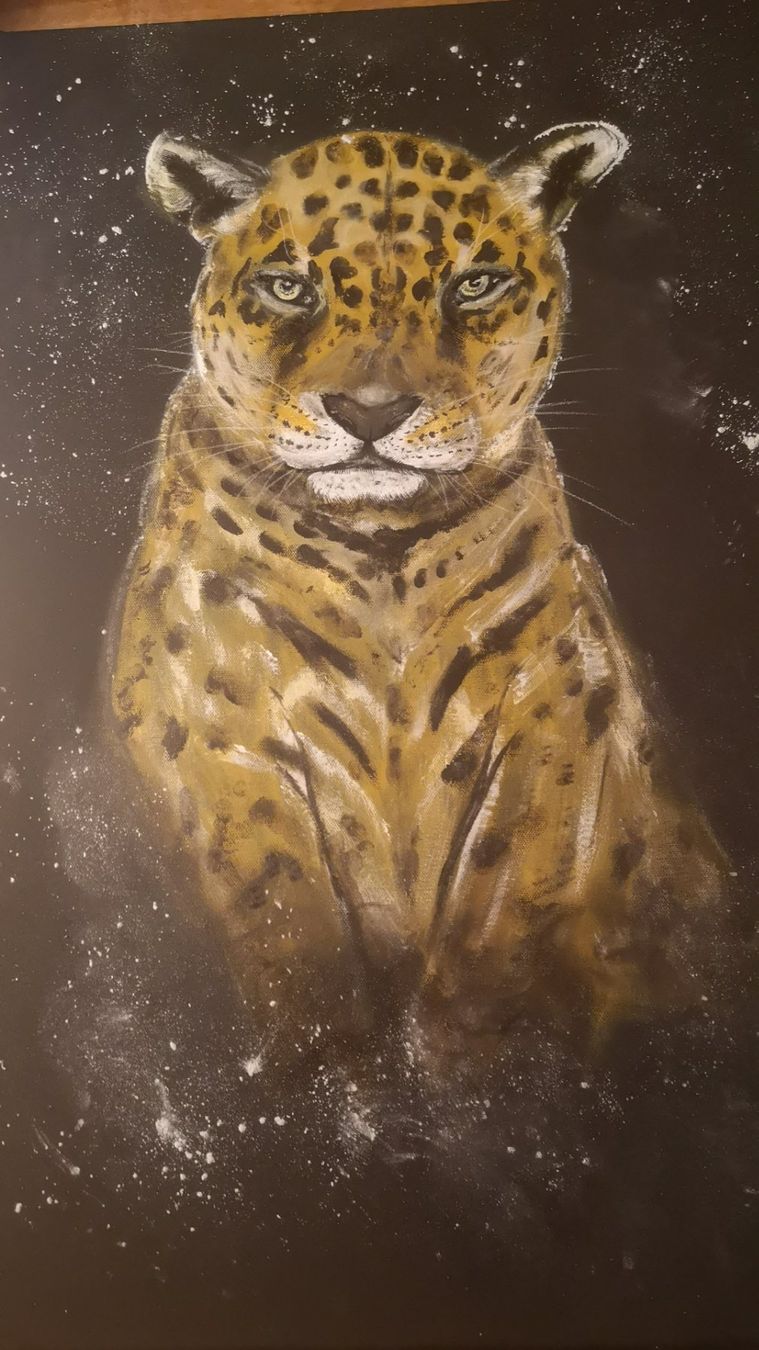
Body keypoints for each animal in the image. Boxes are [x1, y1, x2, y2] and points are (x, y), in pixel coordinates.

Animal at [110, 123, 724, 1076]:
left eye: (472, 284)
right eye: (288, 287)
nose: (370, 411)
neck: (379, 562)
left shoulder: (551, 716)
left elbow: (497, 897)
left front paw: (455, 1058)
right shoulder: (216, 731)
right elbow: (286, 910)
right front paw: (332, 1059)